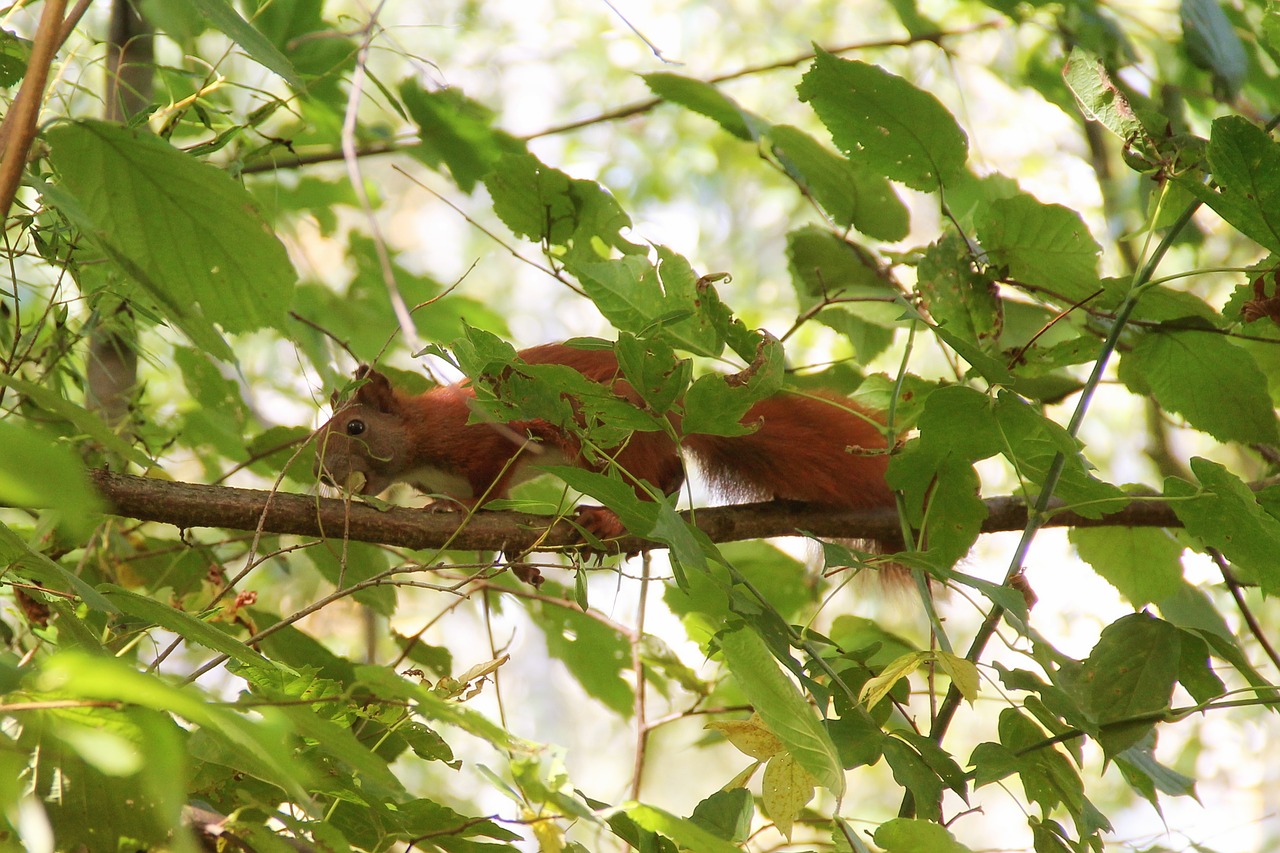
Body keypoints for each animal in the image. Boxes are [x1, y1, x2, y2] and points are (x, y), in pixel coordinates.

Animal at [311, 343, 896, 535]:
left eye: (355, 427)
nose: (322, 474)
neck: (419, 436)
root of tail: (672, 410)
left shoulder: (483, 437)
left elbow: (488, 486)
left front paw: (460, 509)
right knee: (670, 475)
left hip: (606, 437)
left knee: (651, 477)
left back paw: (613, 517)